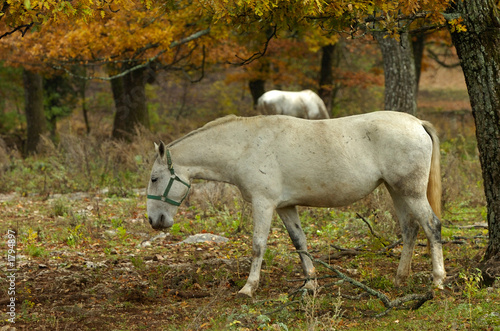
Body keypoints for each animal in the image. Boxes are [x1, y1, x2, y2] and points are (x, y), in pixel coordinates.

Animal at [147, 111, 446, 298]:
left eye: (154, 178)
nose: (154, 221)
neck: (245, 145)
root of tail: (417, 122)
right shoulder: (284, 207)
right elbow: (300, 242)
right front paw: (310, 285)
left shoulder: (264, 204)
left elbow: (258, 246)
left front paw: (248, 288)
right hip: (397, 191)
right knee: (410, 229)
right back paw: (400, 278)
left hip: (411, 192)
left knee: (432, 226)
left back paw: (438, 282)